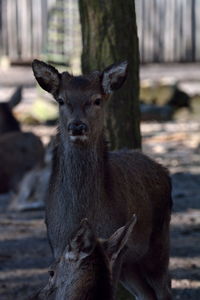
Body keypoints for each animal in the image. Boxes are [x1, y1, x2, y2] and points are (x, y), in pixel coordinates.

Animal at [32, 59, 173, 300]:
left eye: (97, 100)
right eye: (61, 100)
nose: (77, 126)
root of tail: (164, 170)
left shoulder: (113, 248)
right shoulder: (57, 244)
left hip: (158, 244)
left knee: (165, 289)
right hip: (130, 264)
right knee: (146, 294)